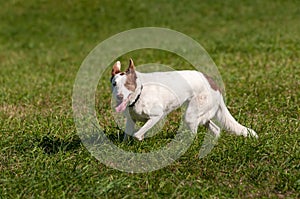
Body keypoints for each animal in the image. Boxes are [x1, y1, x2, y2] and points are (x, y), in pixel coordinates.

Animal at [110, 58, 258, 141]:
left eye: (128, 84)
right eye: (114, 84)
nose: (119, 96)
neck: (139, 93)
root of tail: (213, 83)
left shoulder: (156, 116)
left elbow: (137, 134)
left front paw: (140, 138)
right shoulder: (131, 120)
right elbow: (127, 136)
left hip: (191, 114)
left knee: (195, 132)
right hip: (200, 114)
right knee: (216, 129)